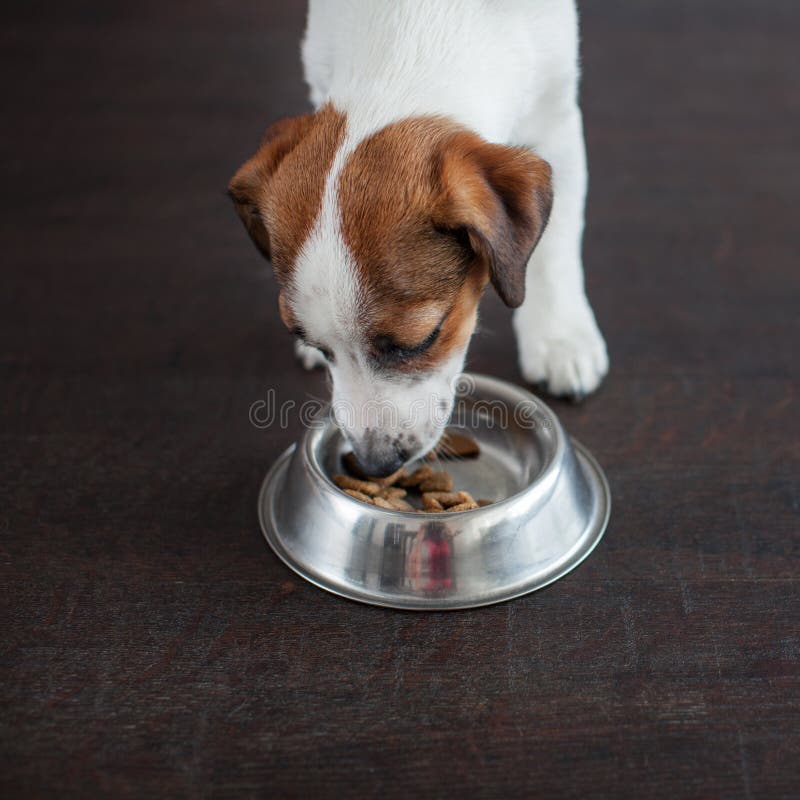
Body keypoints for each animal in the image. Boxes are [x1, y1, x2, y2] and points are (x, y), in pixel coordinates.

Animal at [228, 0, 608, 476]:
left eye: (423, 340)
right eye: (314, 341)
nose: (375, 464)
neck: (415, 25)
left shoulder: (556, 113)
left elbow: (555, 249)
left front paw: (560, 335)